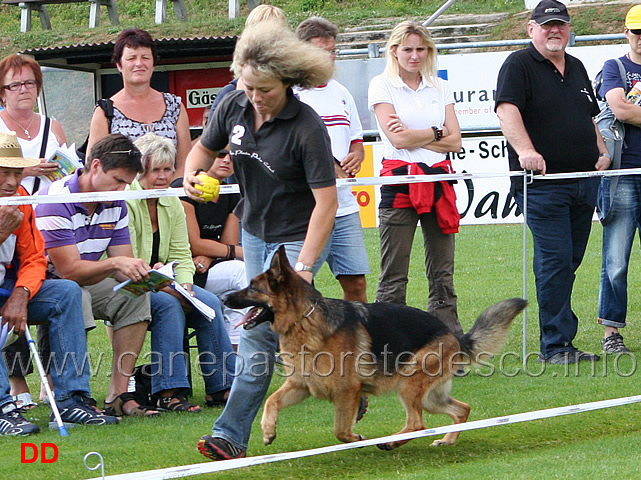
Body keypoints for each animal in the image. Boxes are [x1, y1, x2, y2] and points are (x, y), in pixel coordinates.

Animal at [228, 248, 528, 450]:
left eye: (252, 288)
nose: (224, 297)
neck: (304, 320)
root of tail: (454, 335)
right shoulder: (301, 385)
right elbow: (271, 400)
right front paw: (268, 430)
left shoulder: (347, 390)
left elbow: (340, 429)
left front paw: (355, 438)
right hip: (430, 397)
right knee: (461, 409)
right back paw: (447, 439)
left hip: (409, 383)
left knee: (417, 424)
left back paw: (391, 442)